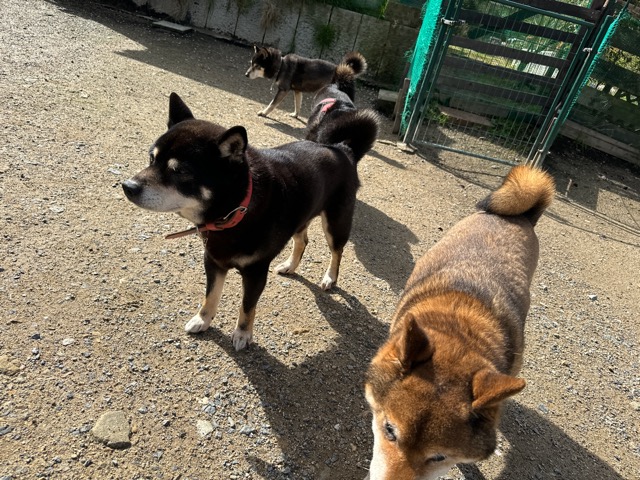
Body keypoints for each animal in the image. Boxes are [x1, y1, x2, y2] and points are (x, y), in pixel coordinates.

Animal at [122, 92, 378, 351]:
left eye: (180, 171)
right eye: (151, 158)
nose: (127, 186)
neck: (233, 214)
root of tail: (342, 149)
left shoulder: (255, 271)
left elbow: (247, 307)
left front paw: (243, 334)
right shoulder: (213, 261)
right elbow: (210, 295)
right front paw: (202, 319)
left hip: (336, 223)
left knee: (337, 252)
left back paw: (329, 277)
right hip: (302, 215)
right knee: (302, 241)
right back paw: (290, 265)